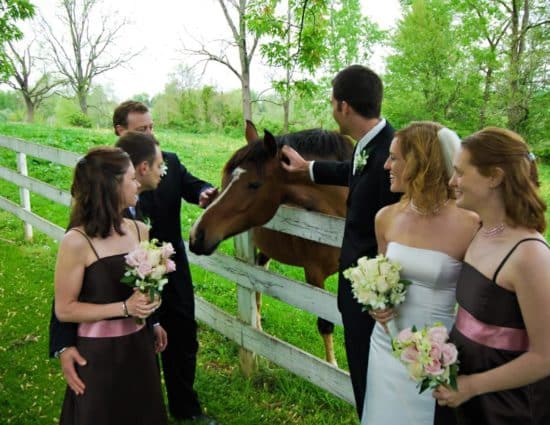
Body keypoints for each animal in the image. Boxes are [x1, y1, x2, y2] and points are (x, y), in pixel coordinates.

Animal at [190, 120, 354, 364]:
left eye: (254, 184)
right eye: (225, 181)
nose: (196, 235)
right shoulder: (314, 275)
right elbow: (326, 323)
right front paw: (332, 366)